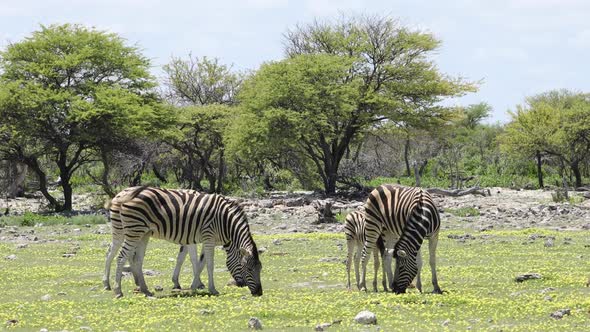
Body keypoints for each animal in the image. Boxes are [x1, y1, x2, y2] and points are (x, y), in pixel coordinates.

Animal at [108, 187, 264, 298]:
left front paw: (194, 285)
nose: (259, 292)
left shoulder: (205, 239)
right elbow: (208, 264)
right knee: (120, 256)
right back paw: (117, 290)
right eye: (249, 269)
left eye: (260, 269)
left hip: (142, 233)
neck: (224, 222)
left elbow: (200, 262)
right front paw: (212, 289)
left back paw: (144, 290)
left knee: (135, 258)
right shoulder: (208, 237)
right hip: (132, 230)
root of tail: (124, 193)